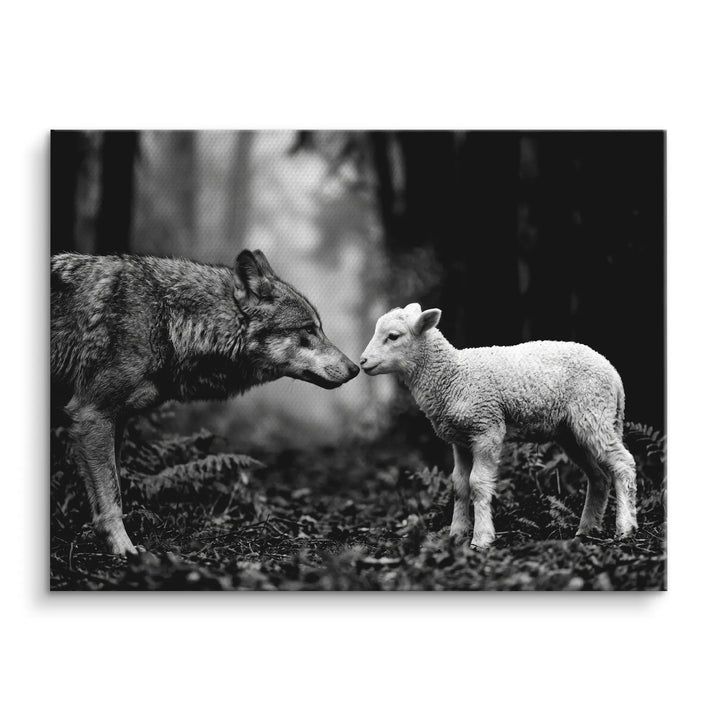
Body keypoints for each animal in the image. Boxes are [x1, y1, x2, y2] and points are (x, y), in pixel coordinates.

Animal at [51, 249, 359, 554]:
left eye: (319, 328)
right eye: (308, 329)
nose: (356, 368)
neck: (169, 319)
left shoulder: (116, 421)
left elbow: (113, 490)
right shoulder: (92, 414)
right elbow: (112, 497)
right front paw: (124, 549)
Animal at [360, 303, 638, 550]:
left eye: (393, 336)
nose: (362, 361)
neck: (452, 376)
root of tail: (614, 374)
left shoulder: (486, 428)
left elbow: (478, 483)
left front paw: (481, 539)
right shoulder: (460, 439)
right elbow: (459, 485)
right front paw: (456, 535)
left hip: (592, 412)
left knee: (623, 463)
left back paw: (625, 528)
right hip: (571, 431)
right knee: (599, 477)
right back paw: (586, 530)